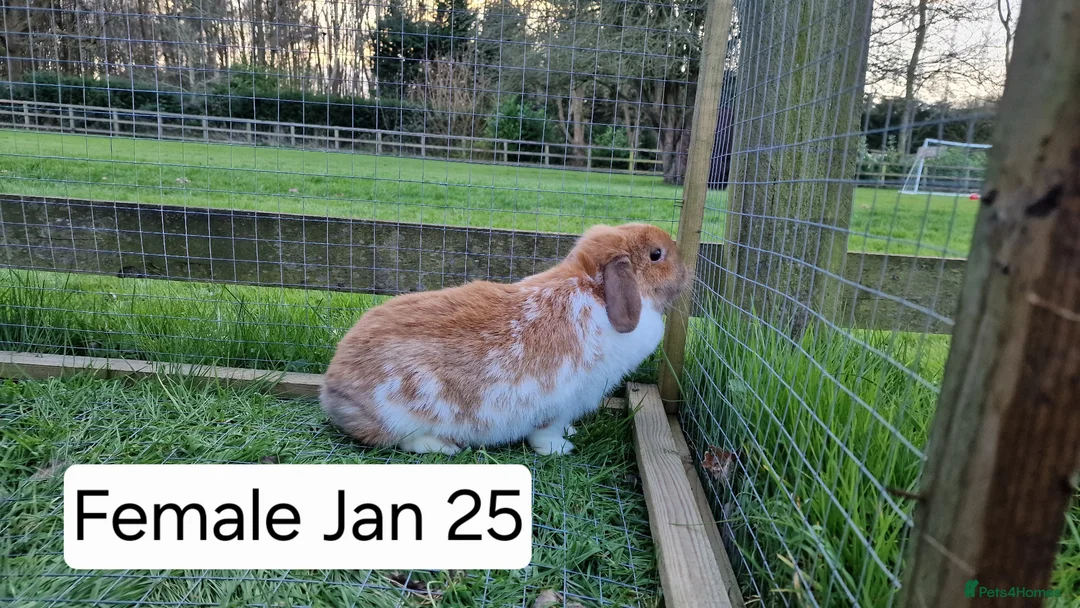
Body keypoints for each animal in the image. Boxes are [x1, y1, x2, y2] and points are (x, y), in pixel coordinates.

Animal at [320, 222, 690, 456]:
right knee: (397, 439)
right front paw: (560, 448)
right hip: (400, 413)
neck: (593, 290)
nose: (687, 269)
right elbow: (546, 430)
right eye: (656, 255)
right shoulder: (562, 400)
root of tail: (333, 389)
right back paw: (441, 446)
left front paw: (570, 435)